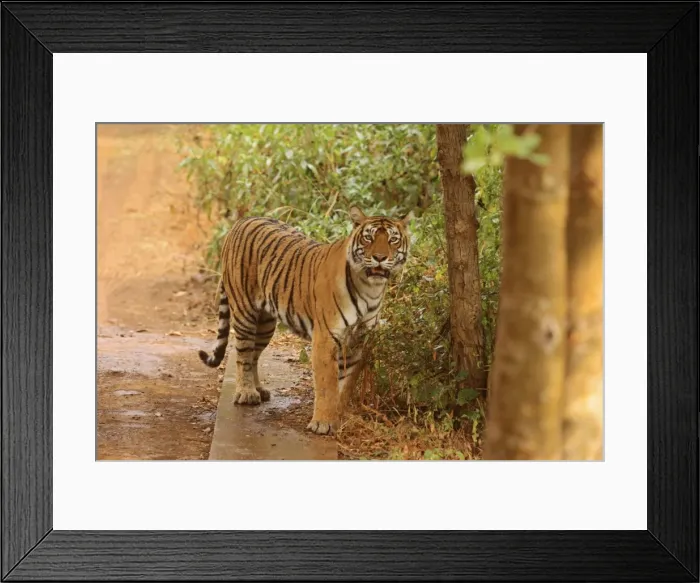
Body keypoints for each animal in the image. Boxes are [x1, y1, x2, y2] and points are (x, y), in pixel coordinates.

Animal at [198, 205, 413, 435]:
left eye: (393, 240)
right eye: (368, 238)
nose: (380, 257)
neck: (370, 288)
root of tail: (241, 221)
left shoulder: (359, 340)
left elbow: (346, 384)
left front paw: (340, 416)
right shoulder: (326, 337)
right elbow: (327, 384)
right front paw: (322, 423)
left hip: (265, 323)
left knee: (254, 355)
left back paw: (259, 389)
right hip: (244, 311)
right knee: (243, 354)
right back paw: (247, 393)